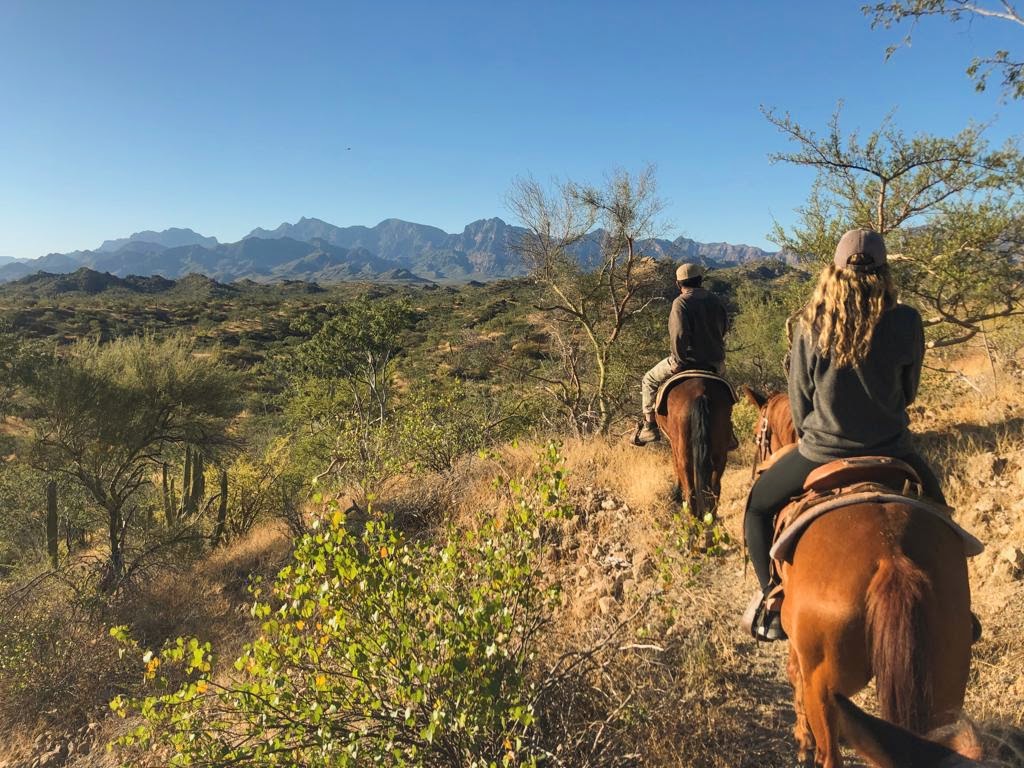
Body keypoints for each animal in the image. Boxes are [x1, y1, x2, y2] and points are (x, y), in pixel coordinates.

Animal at [655, 378, 737, 524]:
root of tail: (700, 393)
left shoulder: (673, 442)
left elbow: (675, 465)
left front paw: (676, 495)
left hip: (682, 445)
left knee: (687, 479)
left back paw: (692, 517)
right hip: (720, 451)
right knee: (715, 486)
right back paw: (710, 516)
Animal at [741, 387, 970, 765]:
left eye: (760, 432)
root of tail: (891, 559)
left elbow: (793, 676)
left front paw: (801, 740)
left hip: (827, 691)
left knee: (829, 754)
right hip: (945, 684)